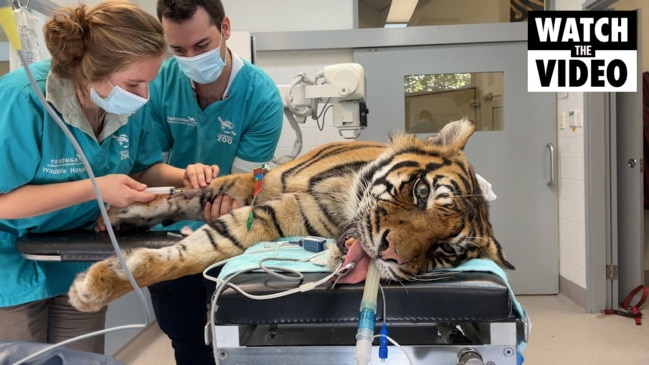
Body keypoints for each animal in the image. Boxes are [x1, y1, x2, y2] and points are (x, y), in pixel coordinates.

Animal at [66, 118, 512, 312]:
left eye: (443, 251)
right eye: (421, 192)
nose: (390, 253)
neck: (343, 195)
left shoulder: (271, 215)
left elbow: (202, 248)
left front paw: (97, 284)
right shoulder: (252, 184)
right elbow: (184, 197)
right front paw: (121, 211)